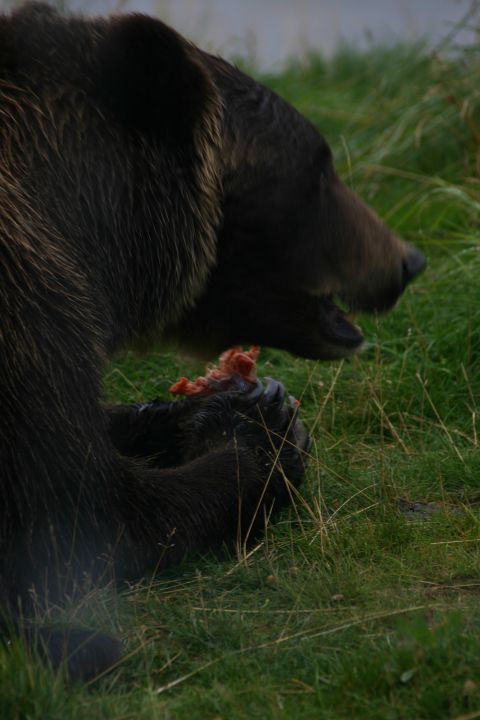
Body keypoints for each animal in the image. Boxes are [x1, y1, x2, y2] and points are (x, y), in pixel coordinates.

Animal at [0, 3, 425, 681]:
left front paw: (228, 404)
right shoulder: (29, 311)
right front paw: (266, 437)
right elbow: (91, 512)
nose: (407, 262)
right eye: (319, 165)